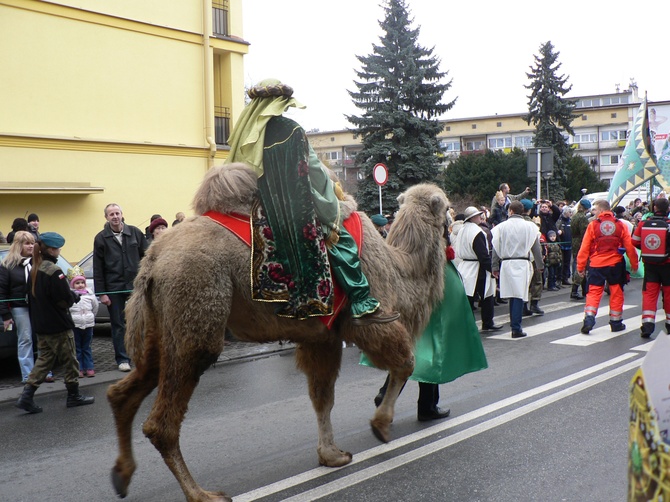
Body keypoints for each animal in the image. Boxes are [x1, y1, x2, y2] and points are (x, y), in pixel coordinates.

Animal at [106, 163, 452, 500]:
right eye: (447, 207)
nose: (451, 221)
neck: (398, 269)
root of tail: (152, 261)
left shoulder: (322, 337)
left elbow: (323, 396)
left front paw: (331, 455)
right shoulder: (370, 322)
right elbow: (405, 363)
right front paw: (380, 425)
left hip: (159, 328)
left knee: (126, 389)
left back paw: (122, 474)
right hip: (196, 311)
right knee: (162, 421)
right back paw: (202, 494)